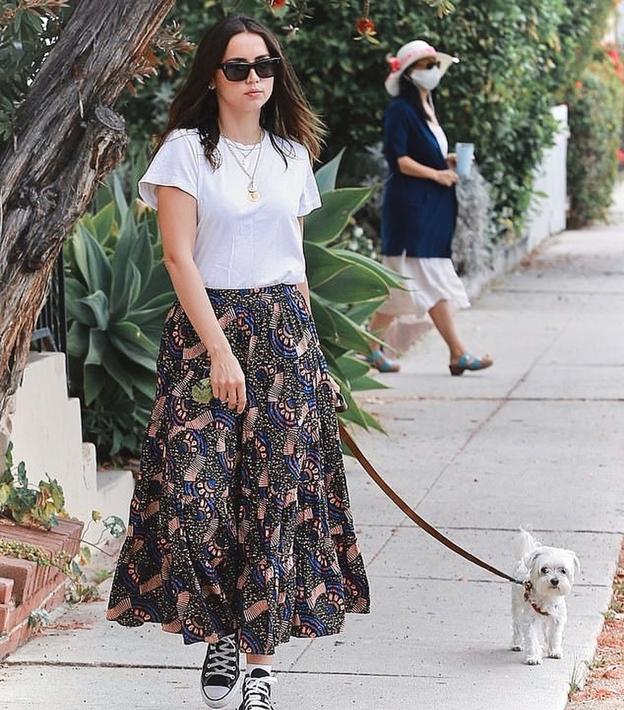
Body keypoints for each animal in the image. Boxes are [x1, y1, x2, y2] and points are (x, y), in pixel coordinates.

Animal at [512, 532, 580, 664]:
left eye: (563, 570)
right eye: (544, 569)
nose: (554, 580)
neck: (548, 596)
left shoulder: (557, 618)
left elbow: (554, 635)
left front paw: (554, 650)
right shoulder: (529, 620)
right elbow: (532, 638)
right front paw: (533, 657)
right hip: (517, 605)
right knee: (516, 624)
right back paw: (517, 644)